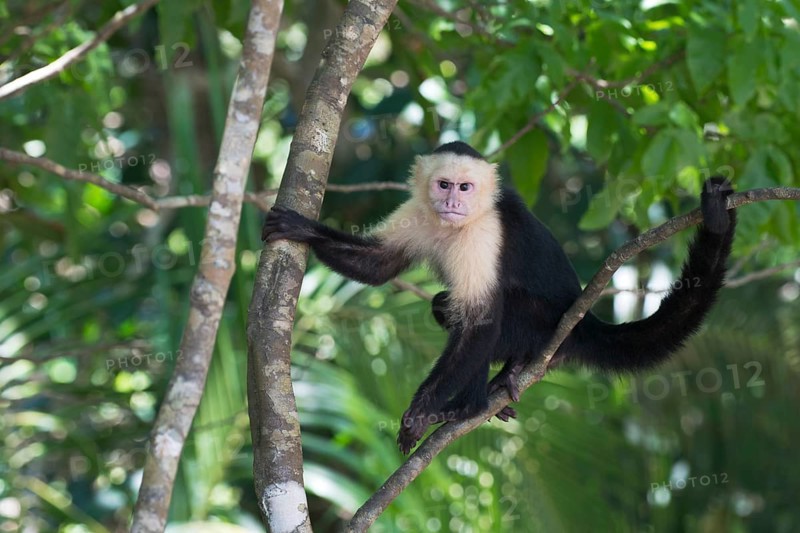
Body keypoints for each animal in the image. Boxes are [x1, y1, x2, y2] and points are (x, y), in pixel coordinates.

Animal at [262, 141, 736, 454]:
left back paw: (480, 395)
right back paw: (488, 389)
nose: (452, 201)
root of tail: (584, 322)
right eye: (444, 184)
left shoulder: (486, 234)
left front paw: (418, 415)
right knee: (447, 309)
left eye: (466, 188)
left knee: (490, 315)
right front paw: (301, 229)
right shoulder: (418, 211)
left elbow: (482, 321)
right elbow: (379, 265)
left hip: (542, 326)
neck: (458, 224)